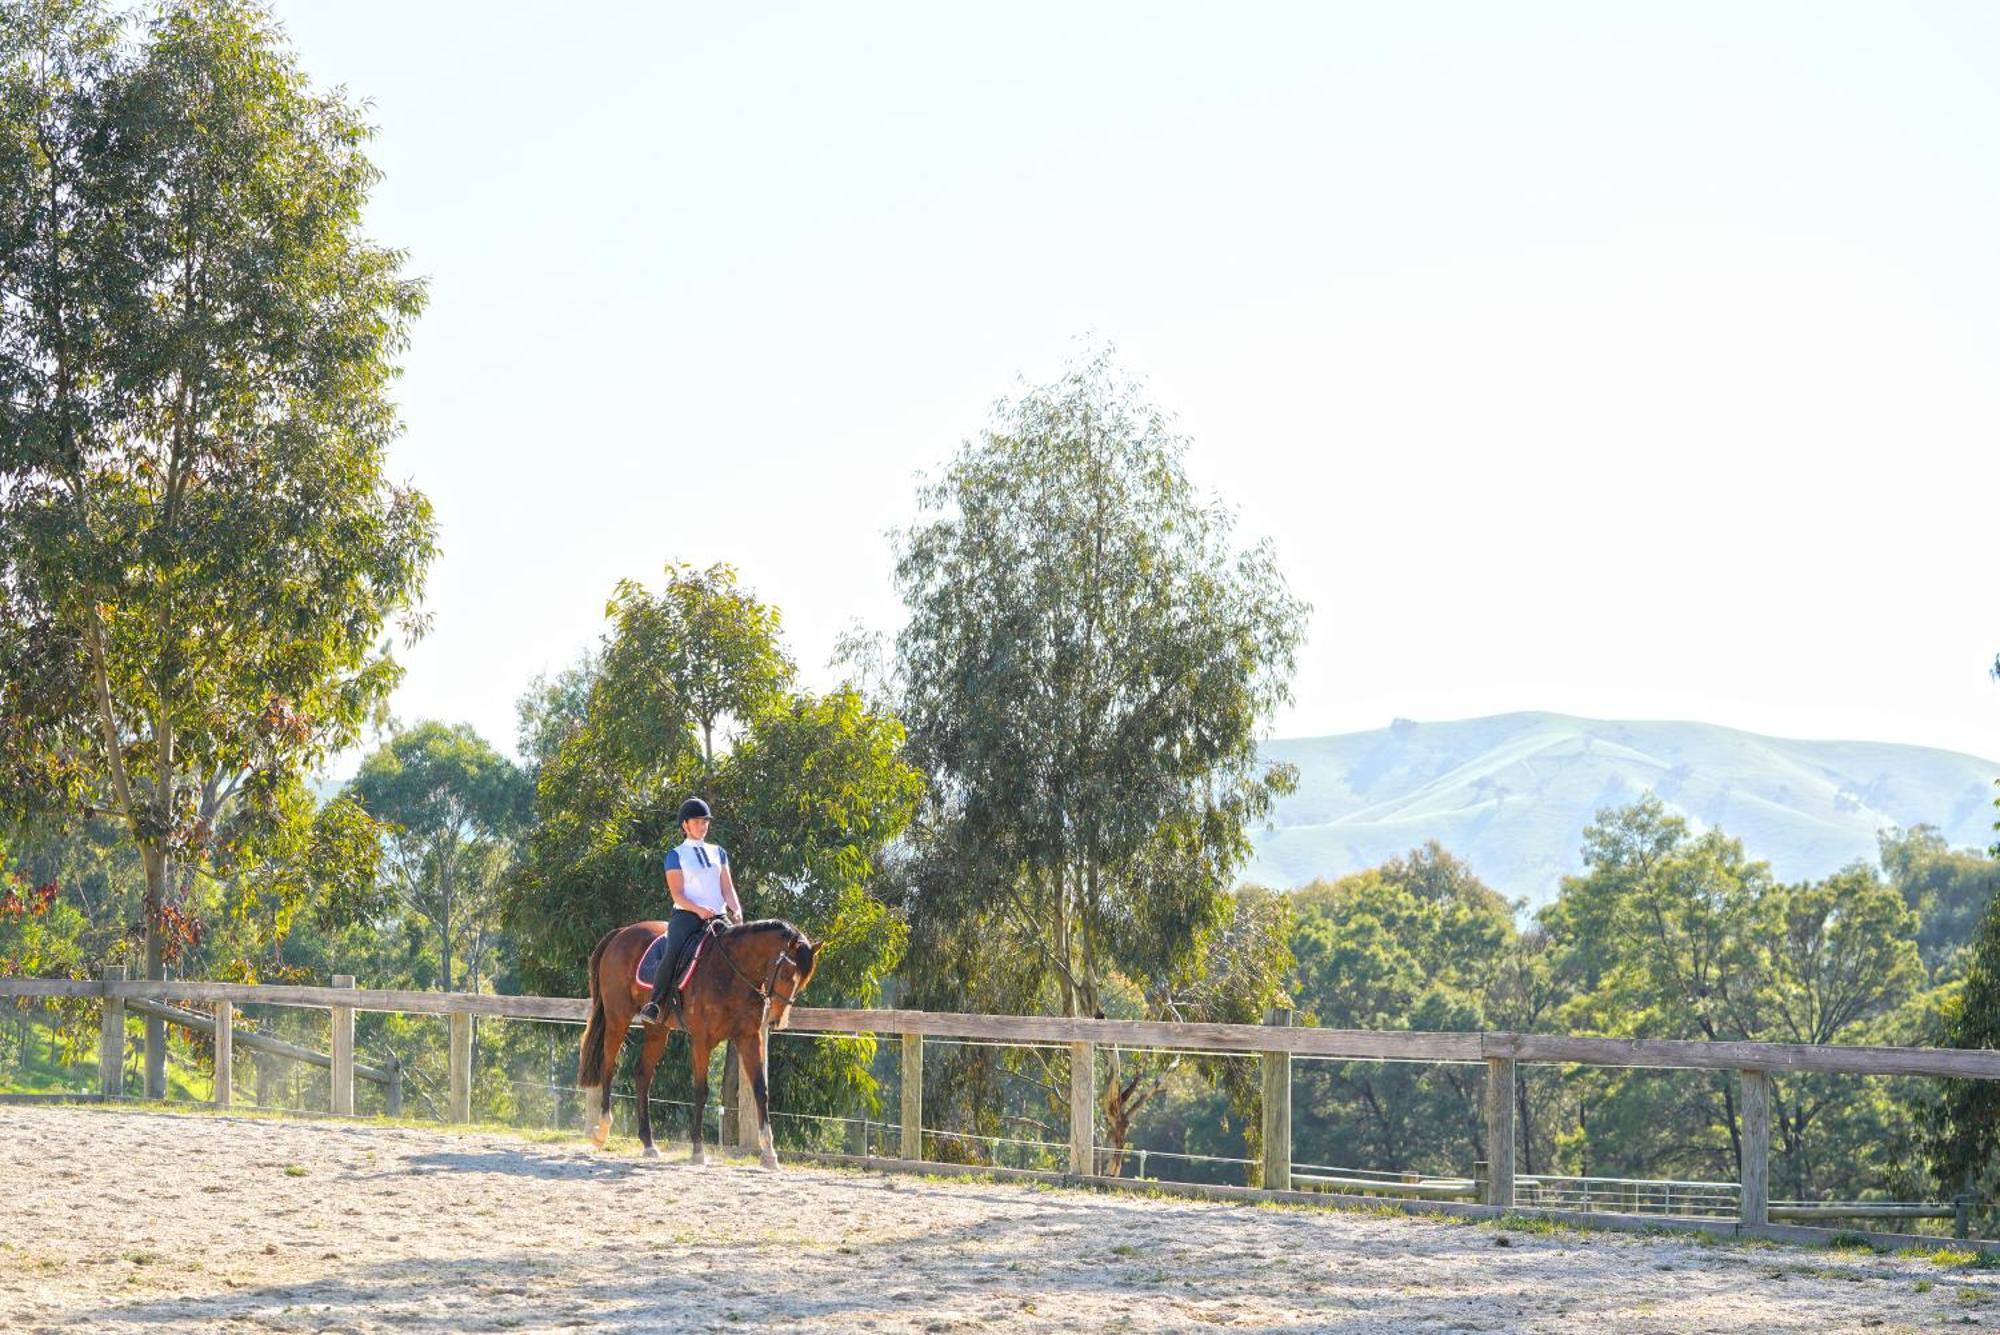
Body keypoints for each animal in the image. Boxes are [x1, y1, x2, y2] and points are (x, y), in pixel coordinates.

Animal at [580, 919, 812, 1167]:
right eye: (786, 973)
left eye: (803, 981)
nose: (778, 1020)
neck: (731, 972)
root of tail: (621, 933)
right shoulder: (702, 1039)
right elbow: (701, 1091)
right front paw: (698, 1151)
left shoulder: (748, 1037)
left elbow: (761, 1089)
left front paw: (769, 1154)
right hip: (617, 1018)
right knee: (608, 1066)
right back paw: (601, 1132)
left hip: (657, 1029)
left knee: (642, 1073)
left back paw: (649, 1143)